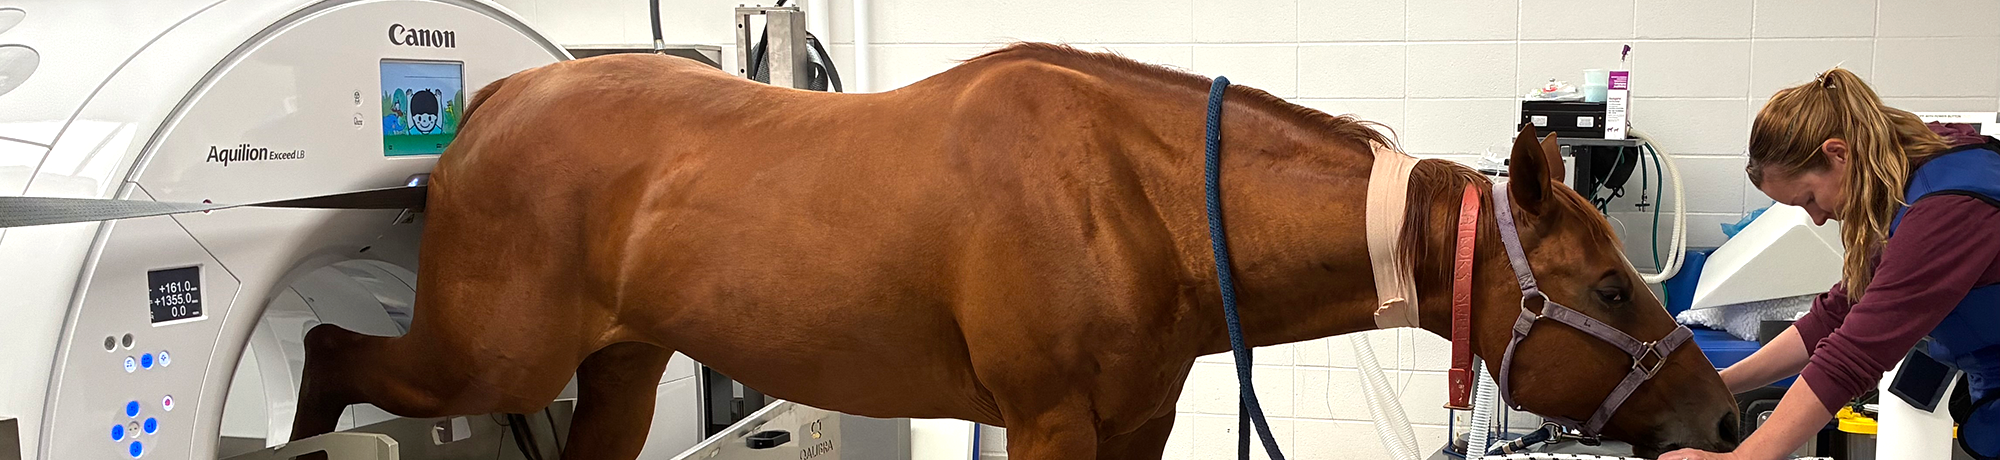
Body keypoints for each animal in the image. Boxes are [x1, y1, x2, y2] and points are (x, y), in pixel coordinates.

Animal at [288, 43, 1740, 459]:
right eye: (1610, 285)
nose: (1724, 414)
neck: (1140, 196)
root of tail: (495, 106)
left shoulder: (1137, 424)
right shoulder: (1045, 423)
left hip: (624, 369)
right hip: (486, 358)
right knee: (326, 350)